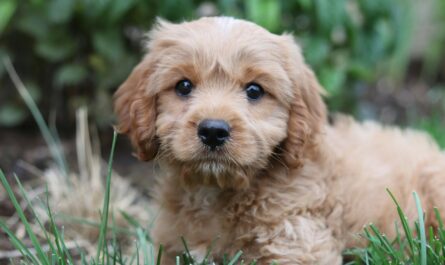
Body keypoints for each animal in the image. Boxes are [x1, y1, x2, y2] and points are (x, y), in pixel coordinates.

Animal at [113, 17, 444, 264]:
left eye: (254, 91)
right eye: (183, 86)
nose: (213, 131)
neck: (217, 191)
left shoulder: (298, 241)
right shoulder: (166, 244)